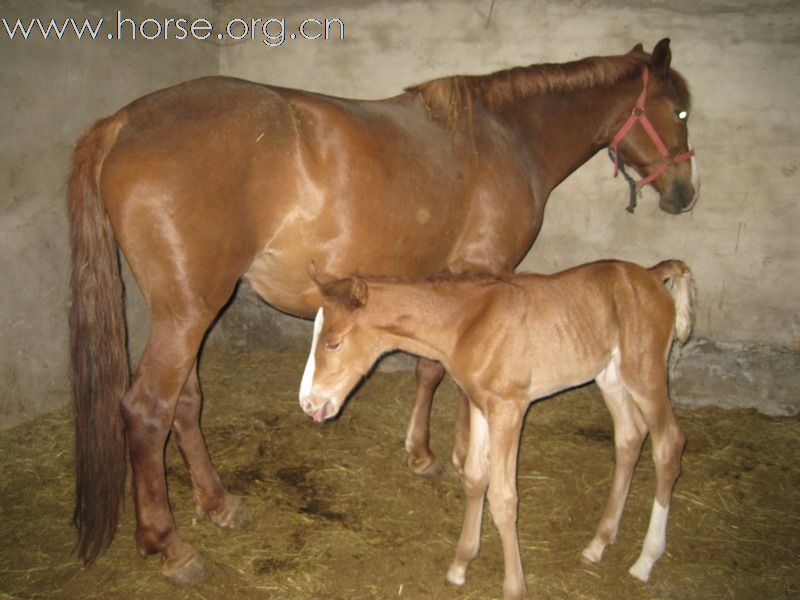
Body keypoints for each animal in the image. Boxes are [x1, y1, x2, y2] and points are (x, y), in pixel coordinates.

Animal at [300, 260, 692, 596]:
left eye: (333, 343)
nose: (307, 402)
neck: (468, 324)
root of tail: (652, 275)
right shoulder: (479, 405)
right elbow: (475, 479)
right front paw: (460, 566)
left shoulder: (509, 409)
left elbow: (504, 499)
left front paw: (514, 587)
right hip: (609, 377)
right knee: (629, 437)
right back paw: (597, 544)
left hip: (646, 375)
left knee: (669, 444)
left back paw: (645, 560)